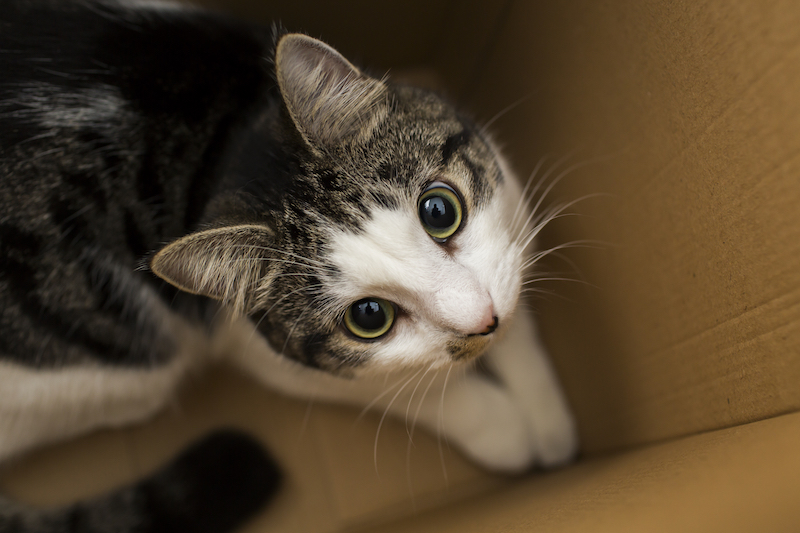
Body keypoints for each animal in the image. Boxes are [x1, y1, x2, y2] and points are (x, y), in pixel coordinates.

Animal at [0, 1, 576, 532]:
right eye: (369, 317)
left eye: (440, 210)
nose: (483, 320)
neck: (224, 143)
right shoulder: (253, 344)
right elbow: (390, 390)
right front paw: (505, 429)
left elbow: (517, 305)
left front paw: (548, 420)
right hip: (117, 370)